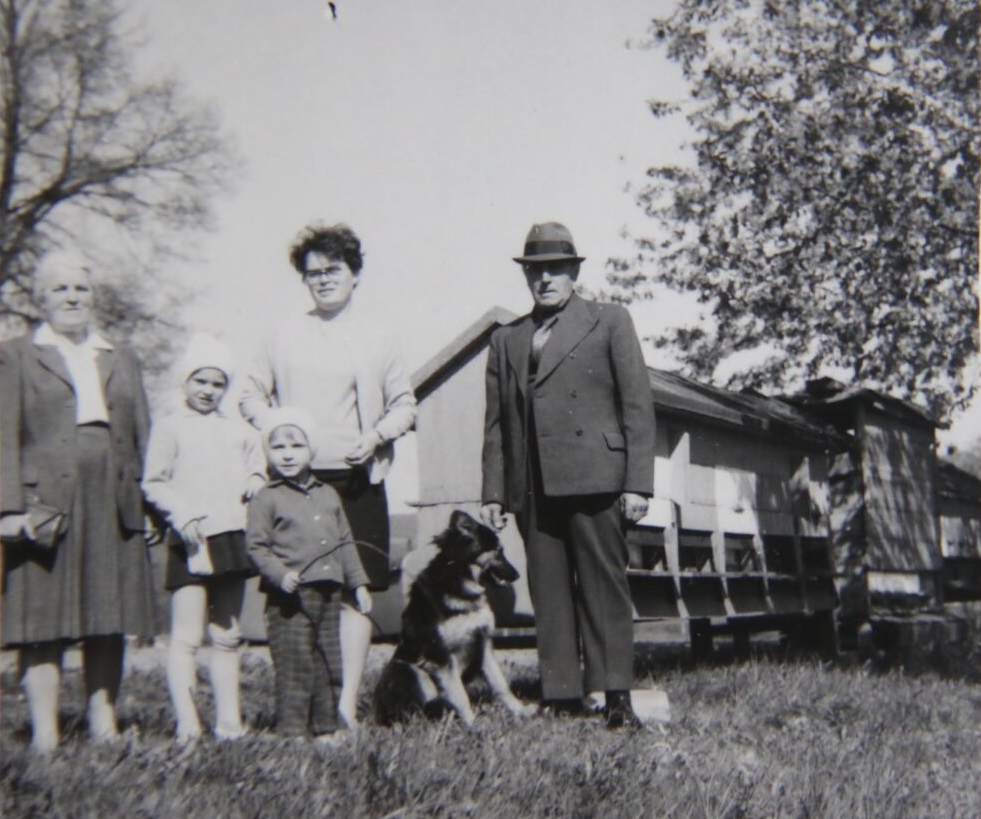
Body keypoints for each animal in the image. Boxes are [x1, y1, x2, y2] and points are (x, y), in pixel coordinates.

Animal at [373, 510, 537, 726]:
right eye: (498, 551)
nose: (517, 575)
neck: (462, 584)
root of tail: (379, 712)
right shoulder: (441, 656)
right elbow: (459, 694)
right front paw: (473, 724)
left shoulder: (482, 644)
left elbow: (500, 683)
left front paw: (520, 710)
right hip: (409, 669)